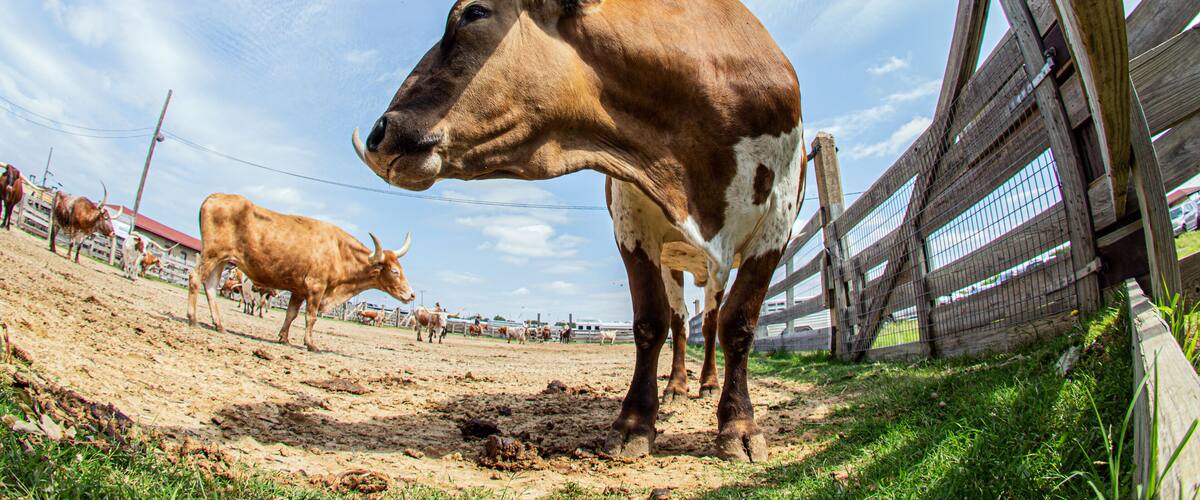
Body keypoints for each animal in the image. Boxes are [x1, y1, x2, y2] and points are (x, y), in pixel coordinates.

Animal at [187, 194, 417, 352]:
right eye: (395, 271)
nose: (412, 294)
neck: (339, 250)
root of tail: (213, 197)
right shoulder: (316, 288)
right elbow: (311, 317)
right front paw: (310, 344)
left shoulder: (298, 290)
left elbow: (291, 314)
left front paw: (284, 338)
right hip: (211, 255)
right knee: (195, 278)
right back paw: (193, 319)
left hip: (221, 260)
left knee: (210, 288)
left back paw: (219, 325)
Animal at [352, 0, 804, 462]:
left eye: (474, 12)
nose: (378, 134)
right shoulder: (632, 222)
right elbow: (650, 323)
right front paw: (635, 423)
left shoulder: (778, 221)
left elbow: (739, 325)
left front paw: (739, 426)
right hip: (673, 262)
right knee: (681, 323)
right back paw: (677, 387)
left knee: (710, 321)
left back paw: (708, 384)